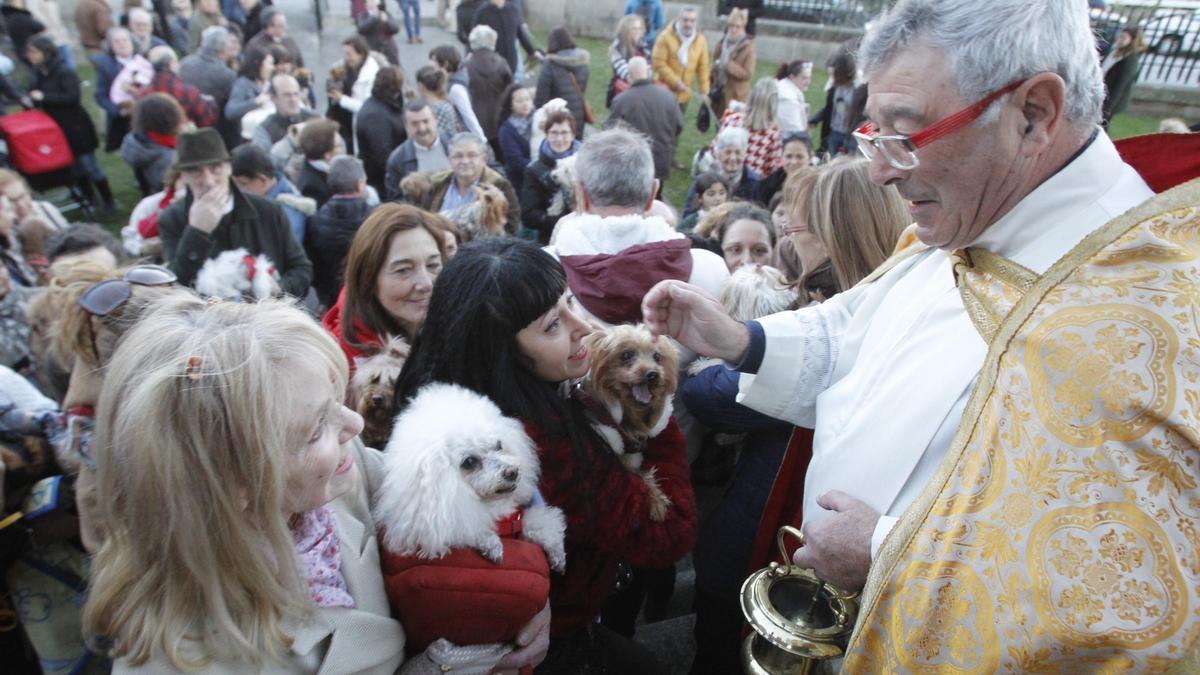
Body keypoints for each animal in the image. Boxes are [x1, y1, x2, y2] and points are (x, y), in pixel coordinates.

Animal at [374, 384, 566, 566]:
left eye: (499, 445)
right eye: (469, 462)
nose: (512, 472)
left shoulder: (519, 521)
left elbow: (538, 522)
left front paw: (556, 550)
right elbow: (468, 529)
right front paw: (491, 544)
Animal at [583, 324, 681, 516]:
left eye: (657, 357)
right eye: (626, 354)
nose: (652, 374)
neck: (629, 412)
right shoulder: (623, 456)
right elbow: (639, 475)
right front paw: (656, 500)